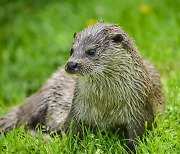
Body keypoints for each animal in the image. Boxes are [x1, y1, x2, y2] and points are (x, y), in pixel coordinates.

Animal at [0, 21, 163, 152]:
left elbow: (138, 136)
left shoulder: (140, 111)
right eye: (71, 50)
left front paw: (130, 149)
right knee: (23, 122)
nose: (71, 64)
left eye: (91, 51)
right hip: (42, 98)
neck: (106, 106)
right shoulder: (77, 110)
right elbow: (71, 131)